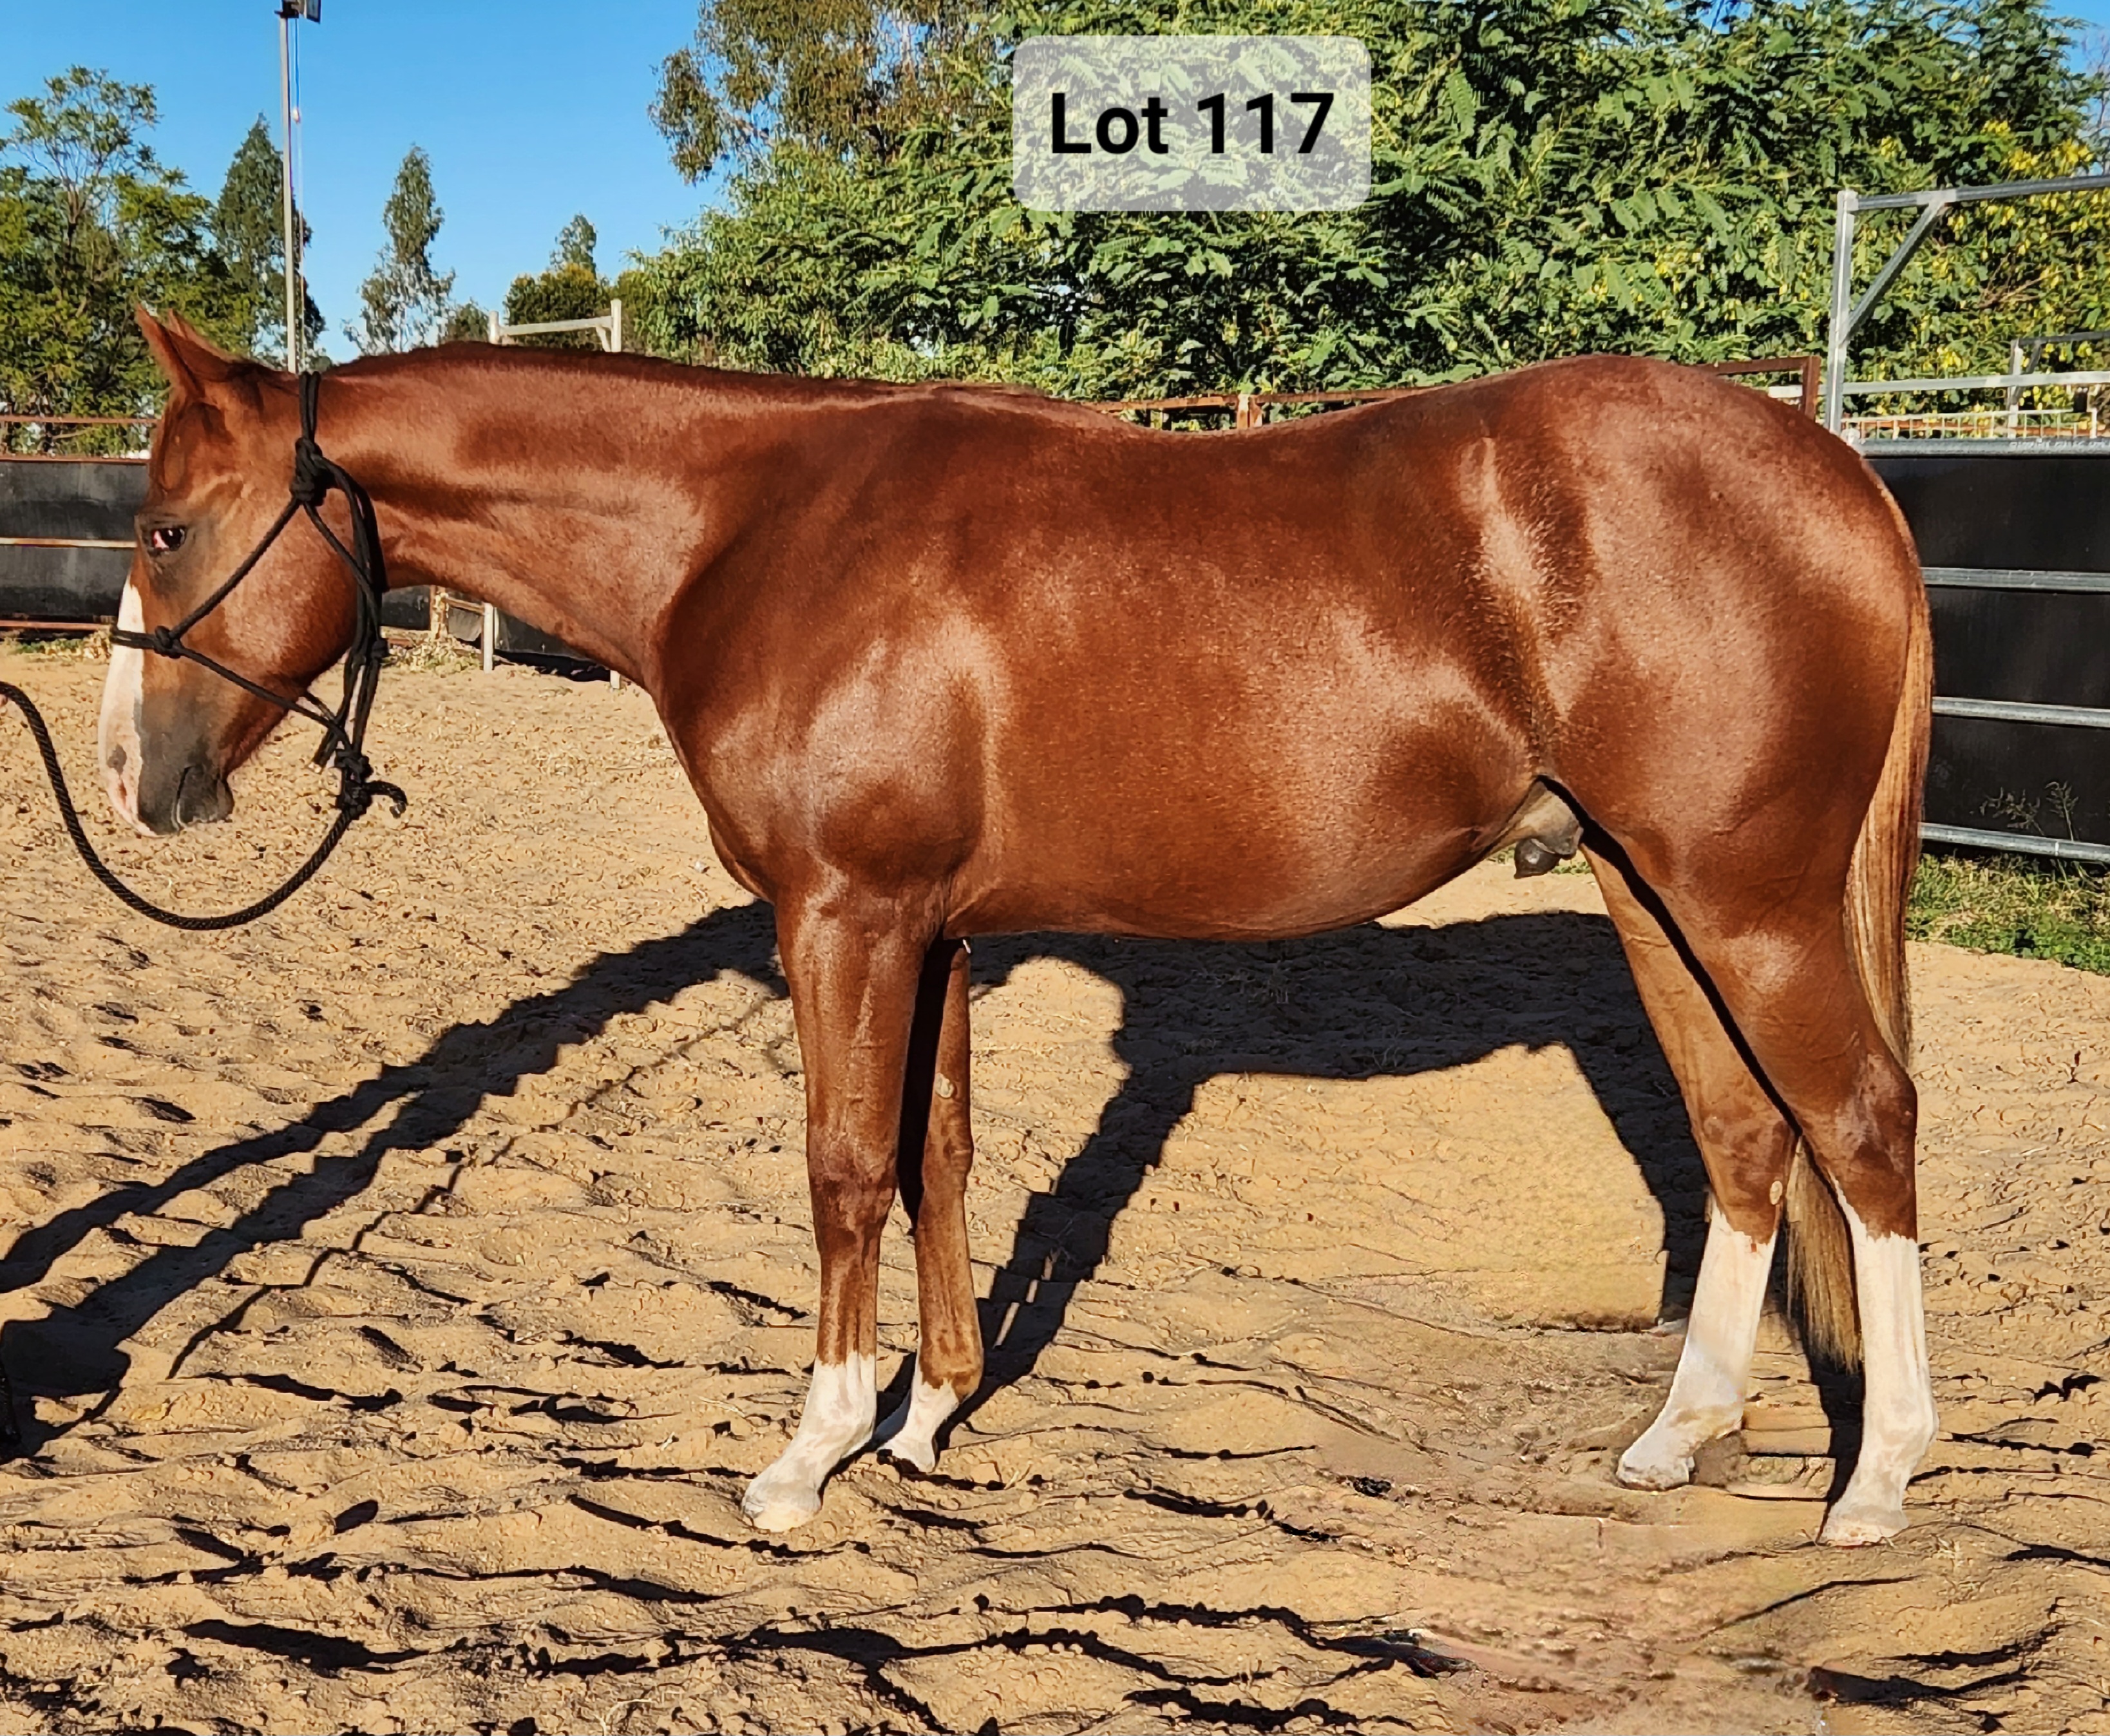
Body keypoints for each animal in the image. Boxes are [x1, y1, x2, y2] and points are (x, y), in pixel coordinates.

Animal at [100, 310, 1936, 1545]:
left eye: (169, 528)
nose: (127, 770)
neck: (750, 531)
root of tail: (1838, 471)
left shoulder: (846, 919)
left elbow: (849, 1168)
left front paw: (811, 1453)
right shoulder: (935, 931)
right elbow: (943, 1156)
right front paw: (928, 1418)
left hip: (1751, 903)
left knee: (1860, 1125)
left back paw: (1877, 1483)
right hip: (1647, 888)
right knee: (1743, 1136)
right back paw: (1682, 1437)